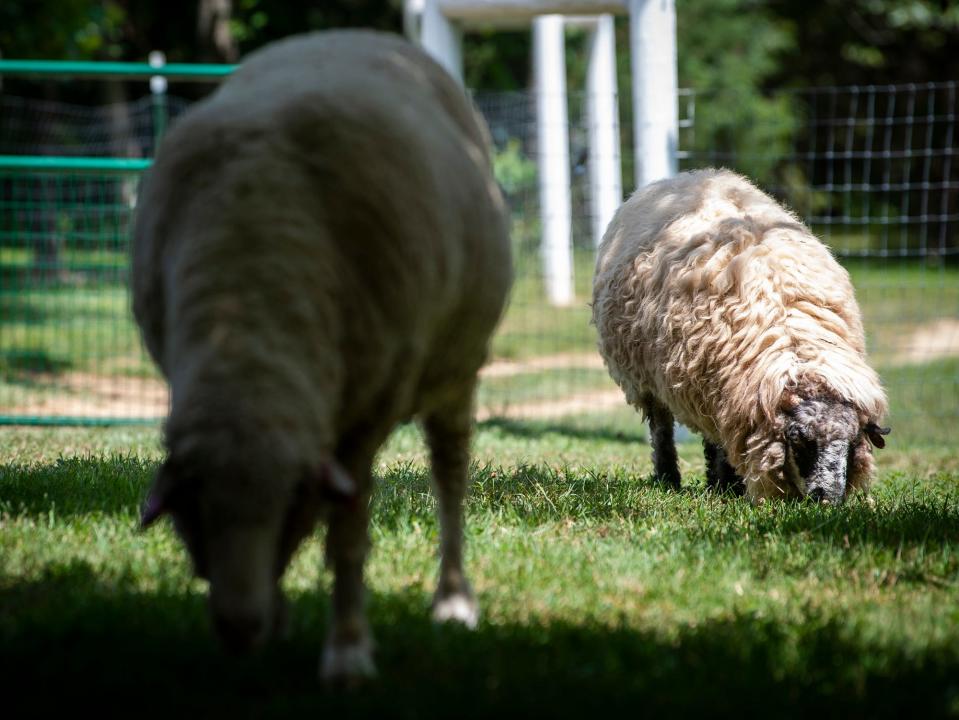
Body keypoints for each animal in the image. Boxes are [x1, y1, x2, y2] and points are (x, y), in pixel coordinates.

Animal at [133, 29, 516, 680]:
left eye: (289, 502)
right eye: (194, 510)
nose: (240, 630)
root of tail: (360, 35)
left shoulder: (365, 419)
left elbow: (348, 533)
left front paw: (348, 651)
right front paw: (284, 616)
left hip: (455, 370)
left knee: (450, 478)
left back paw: (453, 600)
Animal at [592, 169, 892, 504]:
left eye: (852, 442)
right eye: (798, 441)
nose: (826, 498)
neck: (794, 341)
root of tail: (690, 175)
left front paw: (726, 484)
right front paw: (726, 485)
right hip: (647, 380)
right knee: (662, 429)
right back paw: (669, 478)